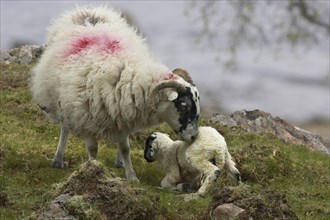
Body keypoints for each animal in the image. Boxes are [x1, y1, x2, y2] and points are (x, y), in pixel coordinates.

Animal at [31, 4, 201, 181]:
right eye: (183, 106)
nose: (194, 137)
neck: (126, 77)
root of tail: (88, 10)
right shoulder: (85, 118)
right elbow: (93, 148)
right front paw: (92, 169)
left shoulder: (123, 116)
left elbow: (125, 148)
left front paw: (131, 176)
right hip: (63, 101)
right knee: (65, 128)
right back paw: (58, 159)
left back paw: (119, 162)